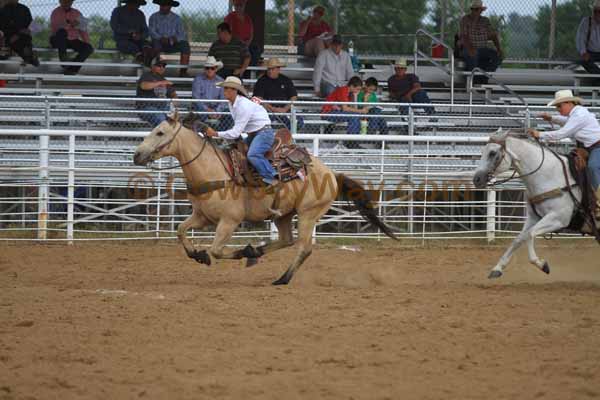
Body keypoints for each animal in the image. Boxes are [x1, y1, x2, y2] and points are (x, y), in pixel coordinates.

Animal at [133, 112, 396, 284]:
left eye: (160, 132)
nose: (137, 155)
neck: (211, 170)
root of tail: (332, 174)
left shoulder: (229, 221)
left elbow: (216, 250)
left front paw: (219, 255)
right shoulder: (202, 216)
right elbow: (180, 230)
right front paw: (198, 255)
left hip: (308, 214)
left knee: (303, 248)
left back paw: (281, 278)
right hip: (284, 215)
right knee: (286, 240)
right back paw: (255, 253)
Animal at [476, 129, 592, 278]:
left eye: (492, 153)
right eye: (482, 151)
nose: (476, 179)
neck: (550, 176)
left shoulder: (559, 219)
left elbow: (530, 234)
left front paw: (542, 264)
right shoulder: (534, 217)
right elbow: (519, 239)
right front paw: (497, 268)